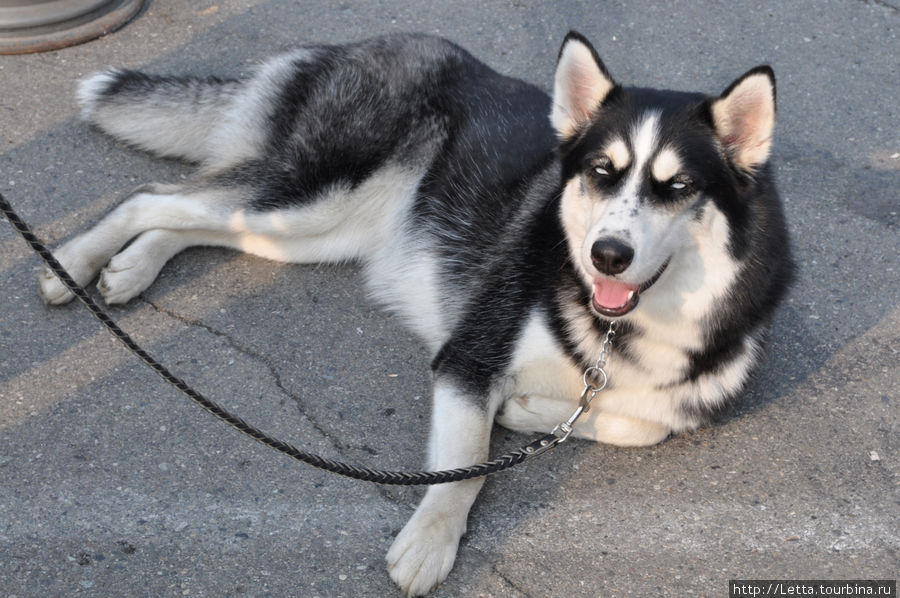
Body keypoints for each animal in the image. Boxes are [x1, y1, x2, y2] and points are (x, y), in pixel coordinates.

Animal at [38, 34, 792, 598]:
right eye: (602, 173)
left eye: (678, 186)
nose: (606, 254)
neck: (619, 327)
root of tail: (368, 41)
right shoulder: (467, 356)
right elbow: (468, 462)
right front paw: (431, 542)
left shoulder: (679, 396)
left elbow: (643, 425)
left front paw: (529, 411)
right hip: (309, 197)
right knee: (152, 194)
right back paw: (71, 260)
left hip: (311, 231)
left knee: (193, 219)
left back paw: (134, 266)